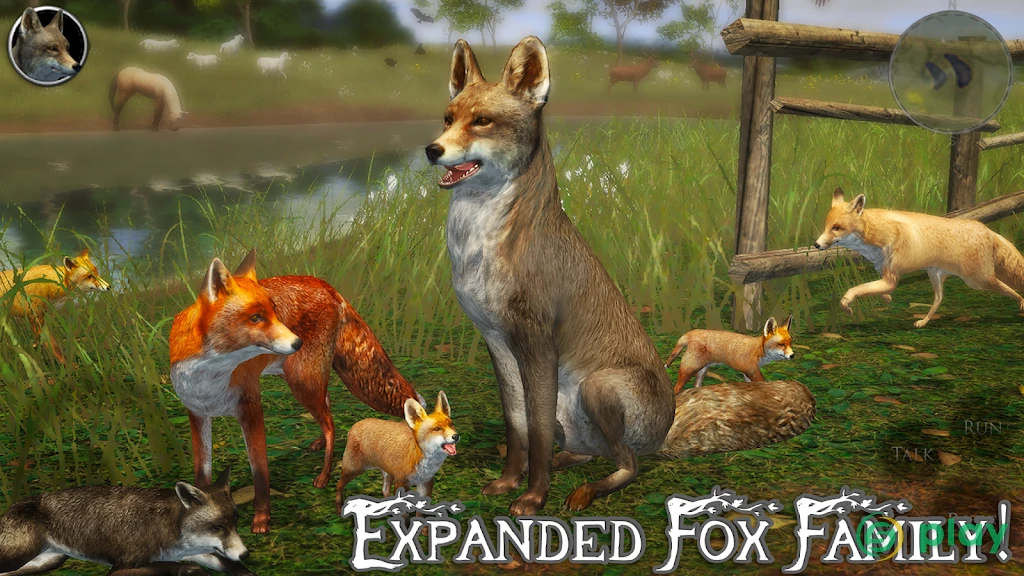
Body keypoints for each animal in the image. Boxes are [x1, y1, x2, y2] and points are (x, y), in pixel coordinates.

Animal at [0, 467, 255, 576]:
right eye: (217, 527)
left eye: (235, 522)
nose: (245, 554)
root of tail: (12, 505)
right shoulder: (121, 566)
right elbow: (176, 567)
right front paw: (190, 571)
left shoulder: (186, 552)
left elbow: (230, 566)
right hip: (19, 556)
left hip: (45, 562)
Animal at [169, 248, 421, 534]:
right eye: (256, 317)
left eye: (275, 311)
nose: (297, 342)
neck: (210, 377)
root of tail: (325, 285)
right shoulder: (197, 415)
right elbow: (201, 474)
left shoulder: (251, 409)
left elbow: (260, 475)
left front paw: (261, 519)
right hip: (301, 379)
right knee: (327, 407)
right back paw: (320, 443)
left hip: (302, 382)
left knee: (331, 424)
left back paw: (324, 475)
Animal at [664, 316, 795, 394]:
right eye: (781, 344)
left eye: (790, 343)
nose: (792, 355)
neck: (758, 351)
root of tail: (690, 333)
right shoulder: (752, 370)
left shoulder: (747, 373)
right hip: (689, 369)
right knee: (676, 388)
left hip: (702, 371)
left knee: (696, 386)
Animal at [814, 187, 1024, 328]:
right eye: (826, 226)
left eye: (837, 228)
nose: (816, 245)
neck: (876, 234)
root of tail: (987, 230)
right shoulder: (885, 273)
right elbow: (871, 289)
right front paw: (887, 298)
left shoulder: (891, 278)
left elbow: (855, 290)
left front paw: (847, 305)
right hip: (936, 276)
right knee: (939, 299)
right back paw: (923, 321)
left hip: (978, 280)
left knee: (1007, 288)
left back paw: (1021, 303)